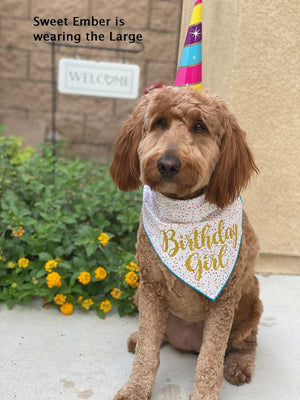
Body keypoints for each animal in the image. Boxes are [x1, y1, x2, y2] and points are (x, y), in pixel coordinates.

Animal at [109, 87, 262, 400]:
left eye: (199, 127)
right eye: (160, 123)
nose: (167, 164)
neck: (182, 211)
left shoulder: (224, 301)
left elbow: (210, 359)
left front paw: (204, 395)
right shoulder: (151, 287)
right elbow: (148, 352)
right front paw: (135, 388)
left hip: (251, 301)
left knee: (246, 343)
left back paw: (239, 365)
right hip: (140, 294)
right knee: (157, 336)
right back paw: (138, 337)